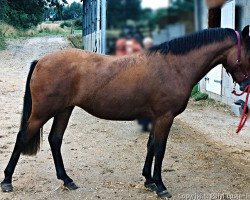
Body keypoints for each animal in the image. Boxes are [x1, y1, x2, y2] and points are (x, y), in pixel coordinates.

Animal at [1, 26, 250, 198]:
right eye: (249, 53)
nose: (246, 86)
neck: (174, 66)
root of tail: (41, 60)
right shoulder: (165, 117)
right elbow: (160, 149)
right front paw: (160, 186)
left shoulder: (157, 118)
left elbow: (151, 146)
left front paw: (148, 180)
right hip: (42, 112)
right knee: (22, 137)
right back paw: (7, 181)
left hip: (64, 110)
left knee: (55, 139)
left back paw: (67, 180)